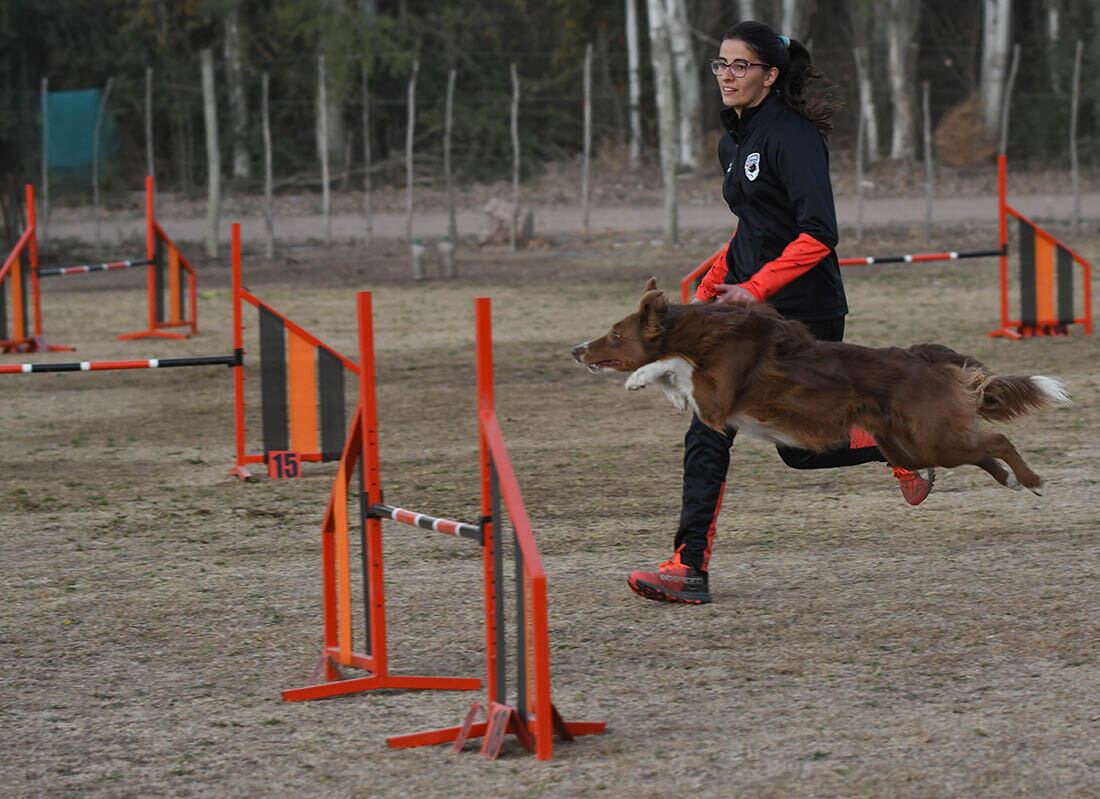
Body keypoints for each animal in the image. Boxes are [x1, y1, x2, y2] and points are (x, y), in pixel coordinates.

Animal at [572, 280, 1069, 495]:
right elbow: (675, 372)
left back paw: (1030, 479)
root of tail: (923, 356)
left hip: (930, 436)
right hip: (912, 446)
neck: (701, 334)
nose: (577, 349)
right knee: (977, 450)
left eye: (614, 334)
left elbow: (672, 363)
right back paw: (1010, 481)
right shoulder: (712, 406)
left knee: (997, 439)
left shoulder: (718, 400)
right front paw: (668, 391)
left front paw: (639, 377)